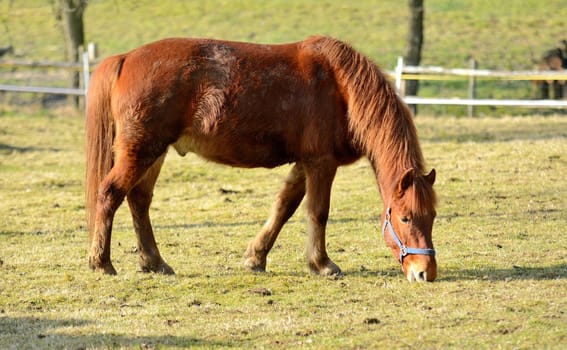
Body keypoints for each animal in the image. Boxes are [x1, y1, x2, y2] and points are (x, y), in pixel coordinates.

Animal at [85, 36, 440, 282]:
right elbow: (318, 213)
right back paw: (102, 263)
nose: (425, 272)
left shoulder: (304, 164)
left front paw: (256, 258)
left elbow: (284, 207)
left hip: (154, 152)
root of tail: (125, 58)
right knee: (111, 194)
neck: (341, 88)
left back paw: (154, 262)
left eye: (432, 217)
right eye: (405, 218)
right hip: (141, 150)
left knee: (139, 201)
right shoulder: (321, 164)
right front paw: (322, 264)